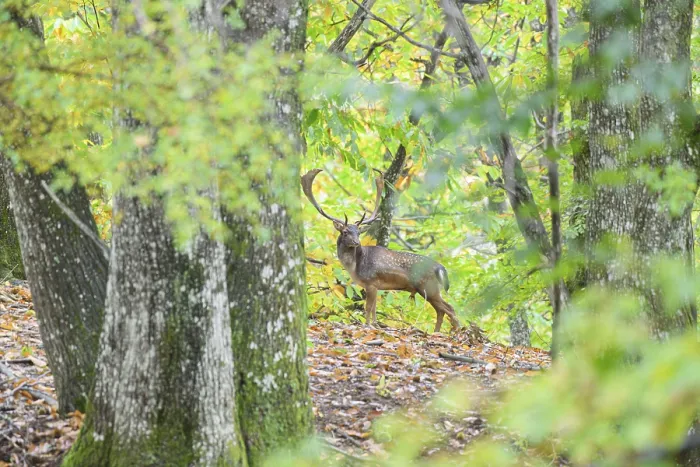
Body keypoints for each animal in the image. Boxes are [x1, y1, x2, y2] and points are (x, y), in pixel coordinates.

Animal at [301, 168, 461, 333]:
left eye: (358, 232)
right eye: (345, 232)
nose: (356, 243)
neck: (355, 267)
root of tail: (440, 267)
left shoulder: (371, 282)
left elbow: (368, 308)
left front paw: (367, 325)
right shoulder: (376, 286)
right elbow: (374, 308)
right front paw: (375, 324)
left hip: (428, 287)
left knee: (449, 309)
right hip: (430, 289)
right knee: (441, 310)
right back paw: (438, 332)